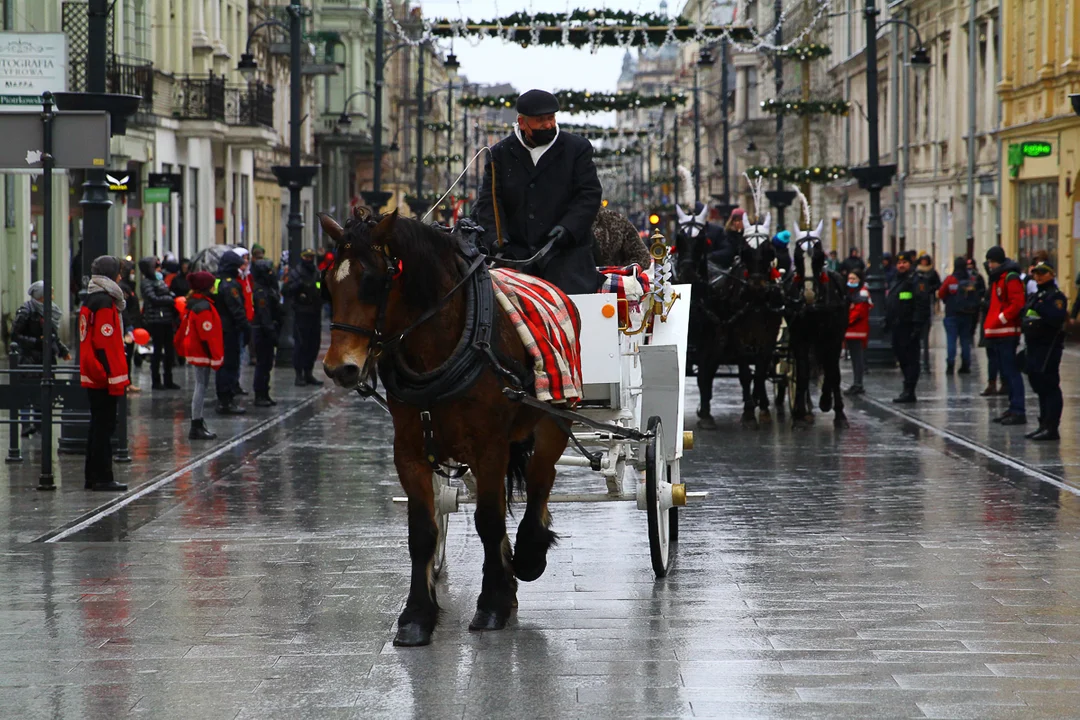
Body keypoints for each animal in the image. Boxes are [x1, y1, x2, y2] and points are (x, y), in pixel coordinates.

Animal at [317, 208, 570, 647]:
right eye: (329, 284)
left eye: (372, 281)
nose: (339, 368)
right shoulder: (409, 450)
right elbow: (424, 531)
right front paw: (418, 615)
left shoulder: (490, 446)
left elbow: (488, 520)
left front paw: (491, 605)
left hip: (553, 418)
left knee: (541, 478)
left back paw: (529, 554)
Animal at [786, 222, 851, 427]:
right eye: (797, 257)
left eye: (819, 256)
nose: (808, 294)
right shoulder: (800, 339)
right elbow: (803, 372)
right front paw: (799, 412)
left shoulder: (835, 338)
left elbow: (833, 372)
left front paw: (837, 411)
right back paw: (806, 409)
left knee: (828, 366)